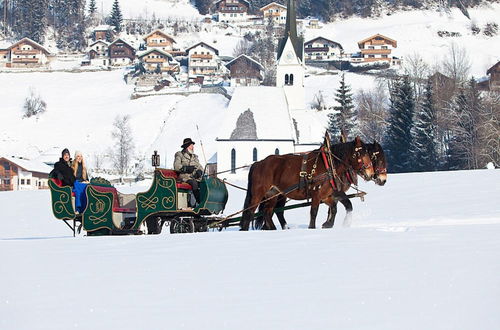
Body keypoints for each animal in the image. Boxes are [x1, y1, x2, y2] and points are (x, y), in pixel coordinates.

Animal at [239, 137, 376, 229]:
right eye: (361, 153)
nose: (371, 173)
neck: (330, 165)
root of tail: (258, 163)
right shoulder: (316, 194)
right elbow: (314, 212)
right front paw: (312, 228)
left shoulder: (326, 195)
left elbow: (334, 207)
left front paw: (327, 224)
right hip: (258, 194)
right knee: (250, 213)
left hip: (273, 194)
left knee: (268, 213)